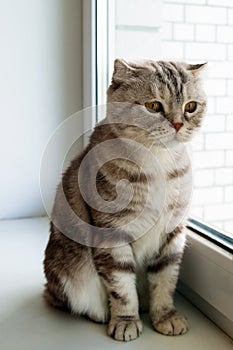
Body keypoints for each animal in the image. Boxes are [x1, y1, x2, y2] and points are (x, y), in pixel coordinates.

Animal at [42, 58, 207, 340]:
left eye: (190, 106)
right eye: (153, 106)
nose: (178, 124)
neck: (159, 163)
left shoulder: (173, 231)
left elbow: (165, 280)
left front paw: (165, 316)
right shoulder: (112, 232)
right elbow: (122, 286)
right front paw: (126, 321)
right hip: (66, 273)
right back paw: (99, 313)